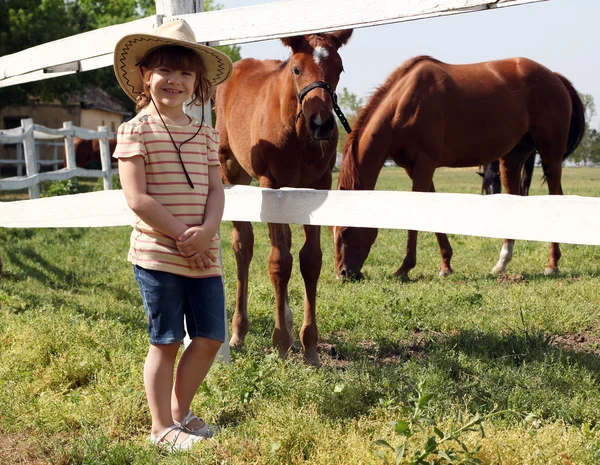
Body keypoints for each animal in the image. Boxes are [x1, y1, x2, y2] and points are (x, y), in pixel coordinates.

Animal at [214, 29, 352, 366]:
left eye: (339, 68)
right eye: (297, 69)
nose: (322, 123)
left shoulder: (317, 185)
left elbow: (310, 260)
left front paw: (310, 345)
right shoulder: (271, 183)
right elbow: (278, 262)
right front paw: (281, 342)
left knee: (285, 243)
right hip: (233, 175)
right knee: (243, 247)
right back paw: (239, 332)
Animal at [336, 54, 584, 280]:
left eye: (346, 230)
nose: (343, 273)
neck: (404, 103)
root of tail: (554, 77)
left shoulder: (424, 165)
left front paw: (404, 268)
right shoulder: (415, 169)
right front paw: (445, 265)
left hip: (551, 157)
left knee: (555, 195)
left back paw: (552, 264)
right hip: (512, 160)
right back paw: (502, 264)